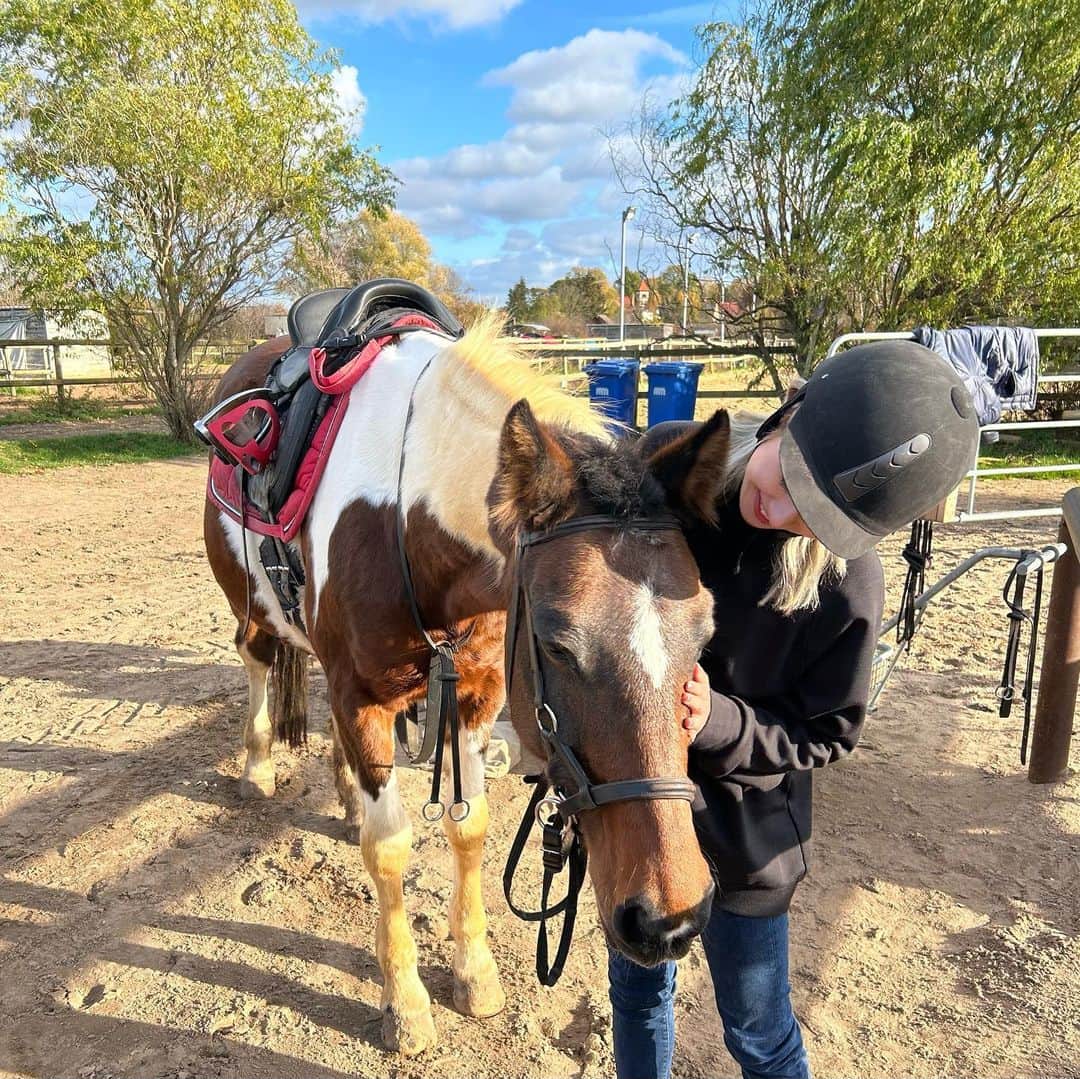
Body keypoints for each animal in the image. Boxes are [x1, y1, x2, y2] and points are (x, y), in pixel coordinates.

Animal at [202, 311, 729, 1054]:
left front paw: (475, 973)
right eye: (556, 642)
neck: (404, 516)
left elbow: (469, 825)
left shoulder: (477, 695)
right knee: (255, 661)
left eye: (705, 633)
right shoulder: (362, 698)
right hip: (247, 603)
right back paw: (257, 767)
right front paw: (406, 1003)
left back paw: (343, 793)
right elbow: (388, 847)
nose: (671, 920)